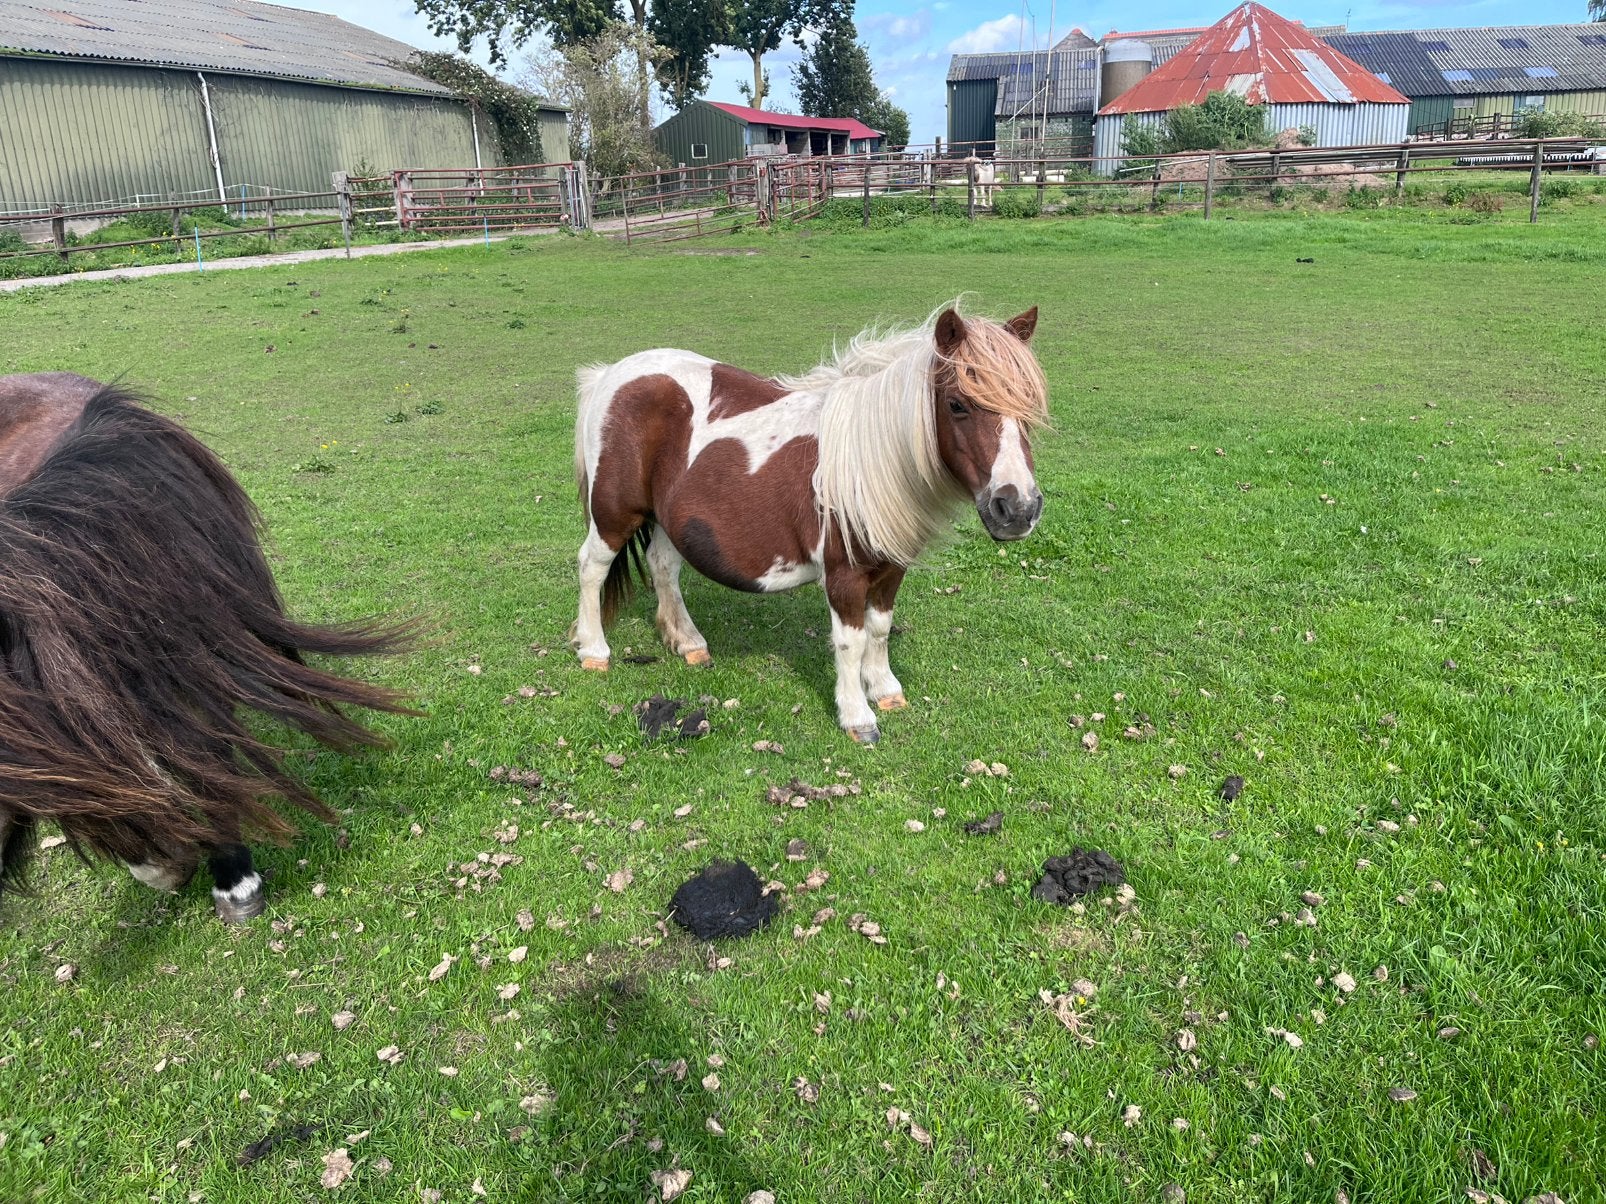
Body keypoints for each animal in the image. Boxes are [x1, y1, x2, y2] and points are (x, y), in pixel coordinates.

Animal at [572, 303, 1048, 743]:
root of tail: (611, 374)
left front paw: (886, 690)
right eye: (957, 404)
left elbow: (879, 629)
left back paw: (689, 643)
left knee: (663, 566)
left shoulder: (892, 567)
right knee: (592, 567)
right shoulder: (844, 574)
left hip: (672, 520)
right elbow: (851, 641)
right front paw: (858, 717)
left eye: (1030, 405)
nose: (1017, 508)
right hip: (614, 513)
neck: (867, 459)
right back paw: (594, 651)